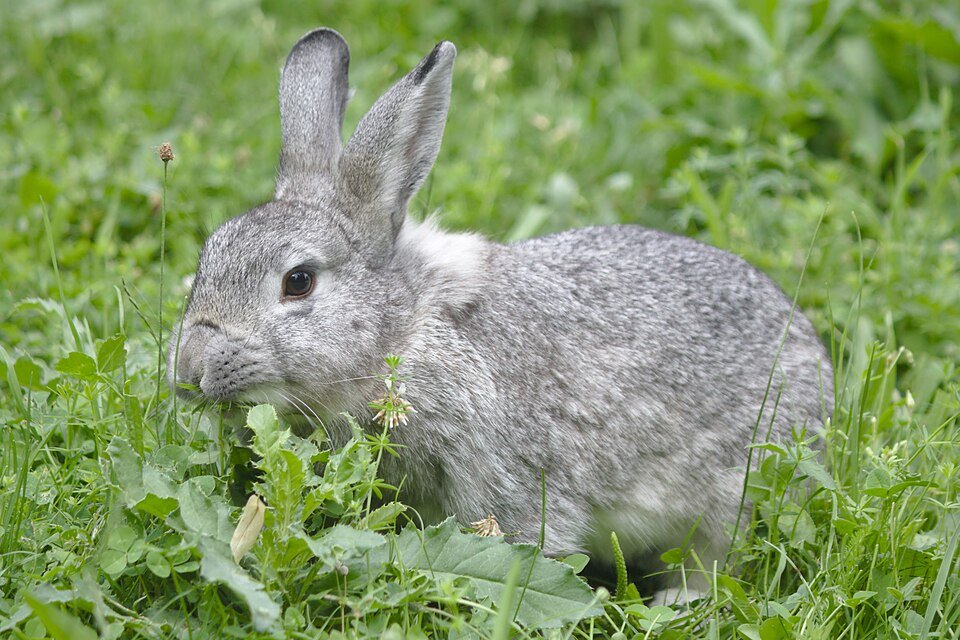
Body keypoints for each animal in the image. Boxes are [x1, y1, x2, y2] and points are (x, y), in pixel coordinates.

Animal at [169, 28, 833, 603]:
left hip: (730, 498)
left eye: (298, 282)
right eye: (207, 256)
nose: (190, 368)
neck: (403, 332)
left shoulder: (507, 478)